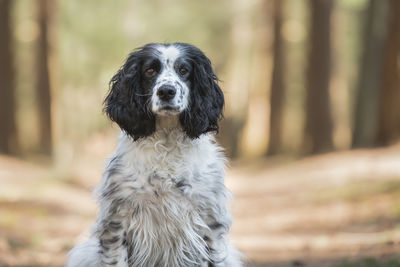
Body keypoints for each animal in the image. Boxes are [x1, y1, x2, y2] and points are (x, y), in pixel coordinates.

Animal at [67, 43, 241, 266]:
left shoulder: (209, 223)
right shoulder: (117, 220)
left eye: (184, 70)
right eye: (149, 70)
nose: (166, 91)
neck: (167, 141)